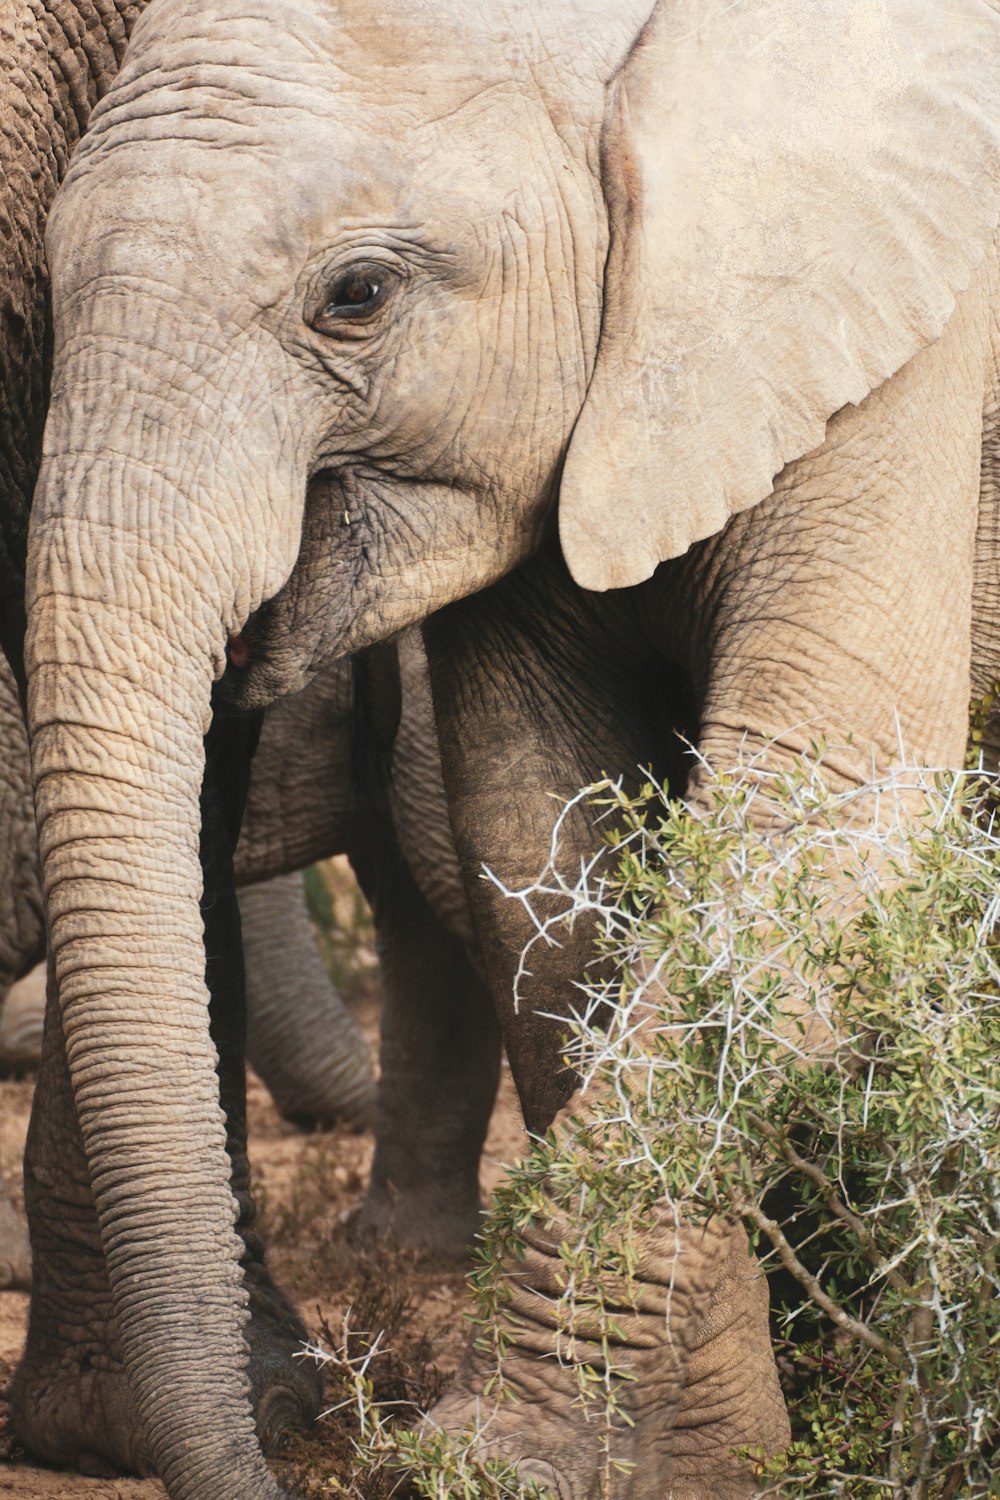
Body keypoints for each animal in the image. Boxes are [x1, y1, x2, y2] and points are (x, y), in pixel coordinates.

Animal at [17, 0, 1000, 1494]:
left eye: (357, 295)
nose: (288, 1441)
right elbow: (540, 824)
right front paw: (695, 1455)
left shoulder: (919, 348)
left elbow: (815, 815)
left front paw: (516, 1461)